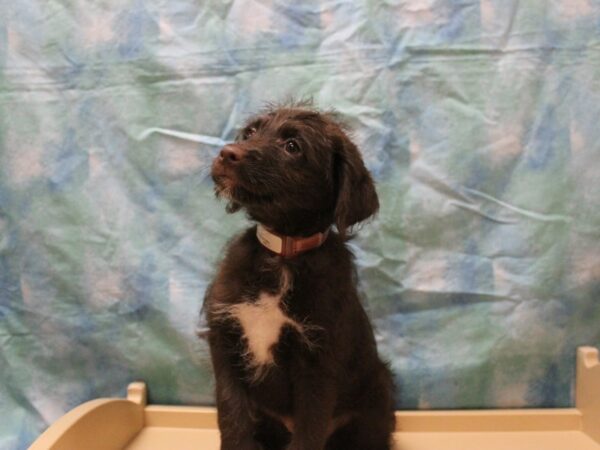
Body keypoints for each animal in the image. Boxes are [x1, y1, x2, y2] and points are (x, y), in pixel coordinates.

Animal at [204, 103, 396, 448]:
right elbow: (233, 418)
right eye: (250, 132)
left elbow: (309, 431)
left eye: (292, 146)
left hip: (377, 396)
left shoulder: (318, 364)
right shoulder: (225, 344)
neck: (283, 255)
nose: (227, 153)